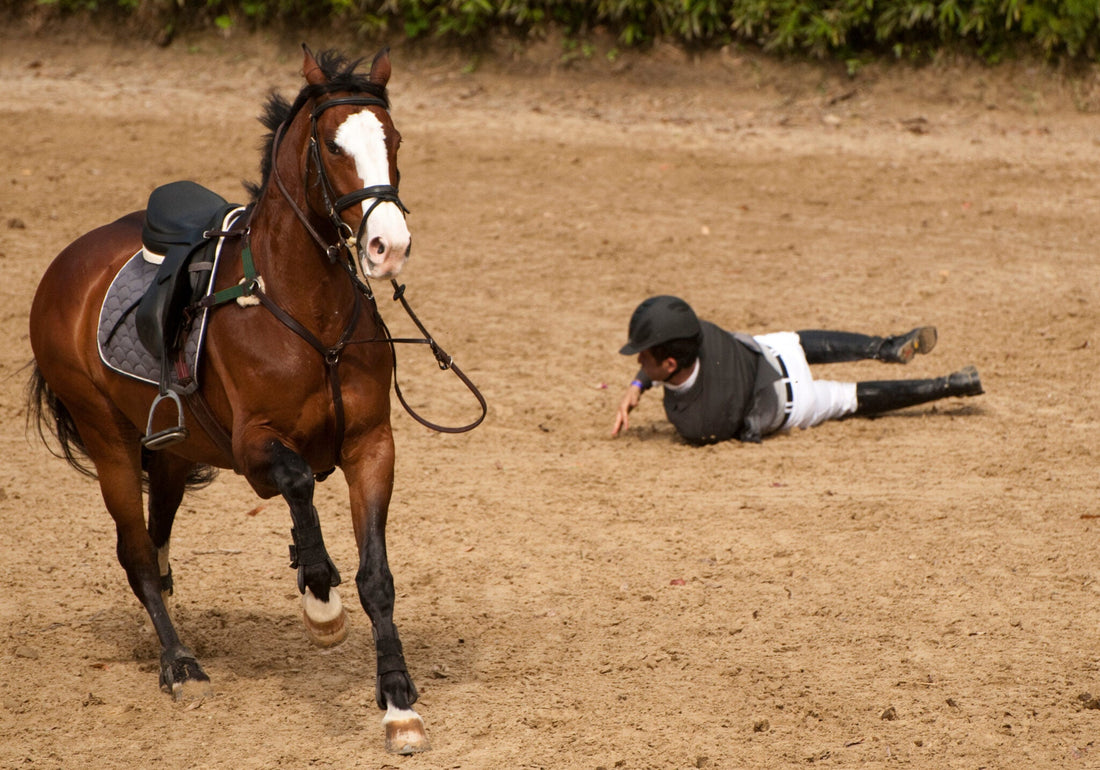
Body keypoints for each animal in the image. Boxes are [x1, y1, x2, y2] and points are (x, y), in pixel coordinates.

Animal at [27, 45, 434, 754]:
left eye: (394, 140)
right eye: (333, 146)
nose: (390, 247)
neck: (309, 314)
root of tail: (65, 265)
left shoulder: (371, 446)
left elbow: (376, 577)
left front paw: (398, 704)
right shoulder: (254, 449)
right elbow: (300, 486)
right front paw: (319, 601)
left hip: (168, 451)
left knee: (157, 544)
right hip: (108, 442)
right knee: (138, 555)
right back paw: (180, 665)